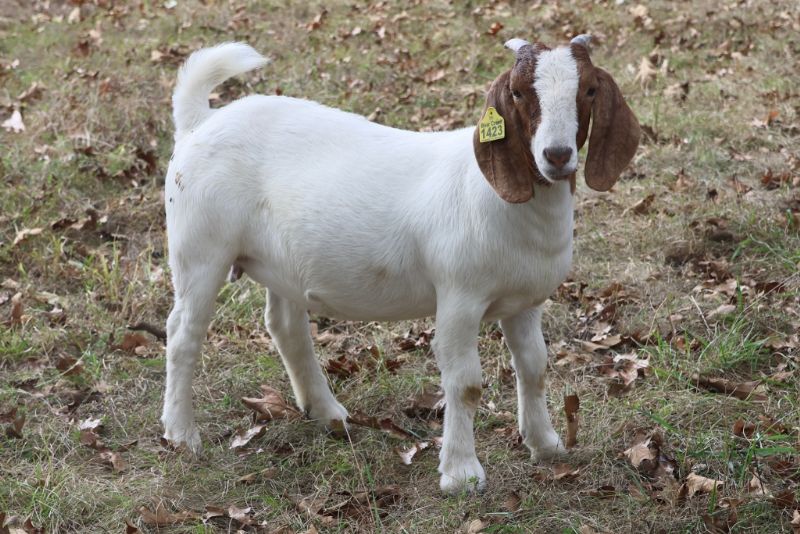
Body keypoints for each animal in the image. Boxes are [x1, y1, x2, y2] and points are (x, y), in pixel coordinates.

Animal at [162, 36, 640, 493]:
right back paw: (181, 435)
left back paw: (327, 413)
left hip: (281, 263)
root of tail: (199, 121)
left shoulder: (525, 303)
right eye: (519, 93)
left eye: (589, 89)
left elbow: (535, 367)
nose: (556, 155)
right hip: (200, 248)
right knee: (183, 334)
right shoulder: (459, 298)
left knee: (285, 326)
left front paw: (546, 445)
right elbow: (466, 383)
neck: (492, 195)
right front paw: (461, 474)